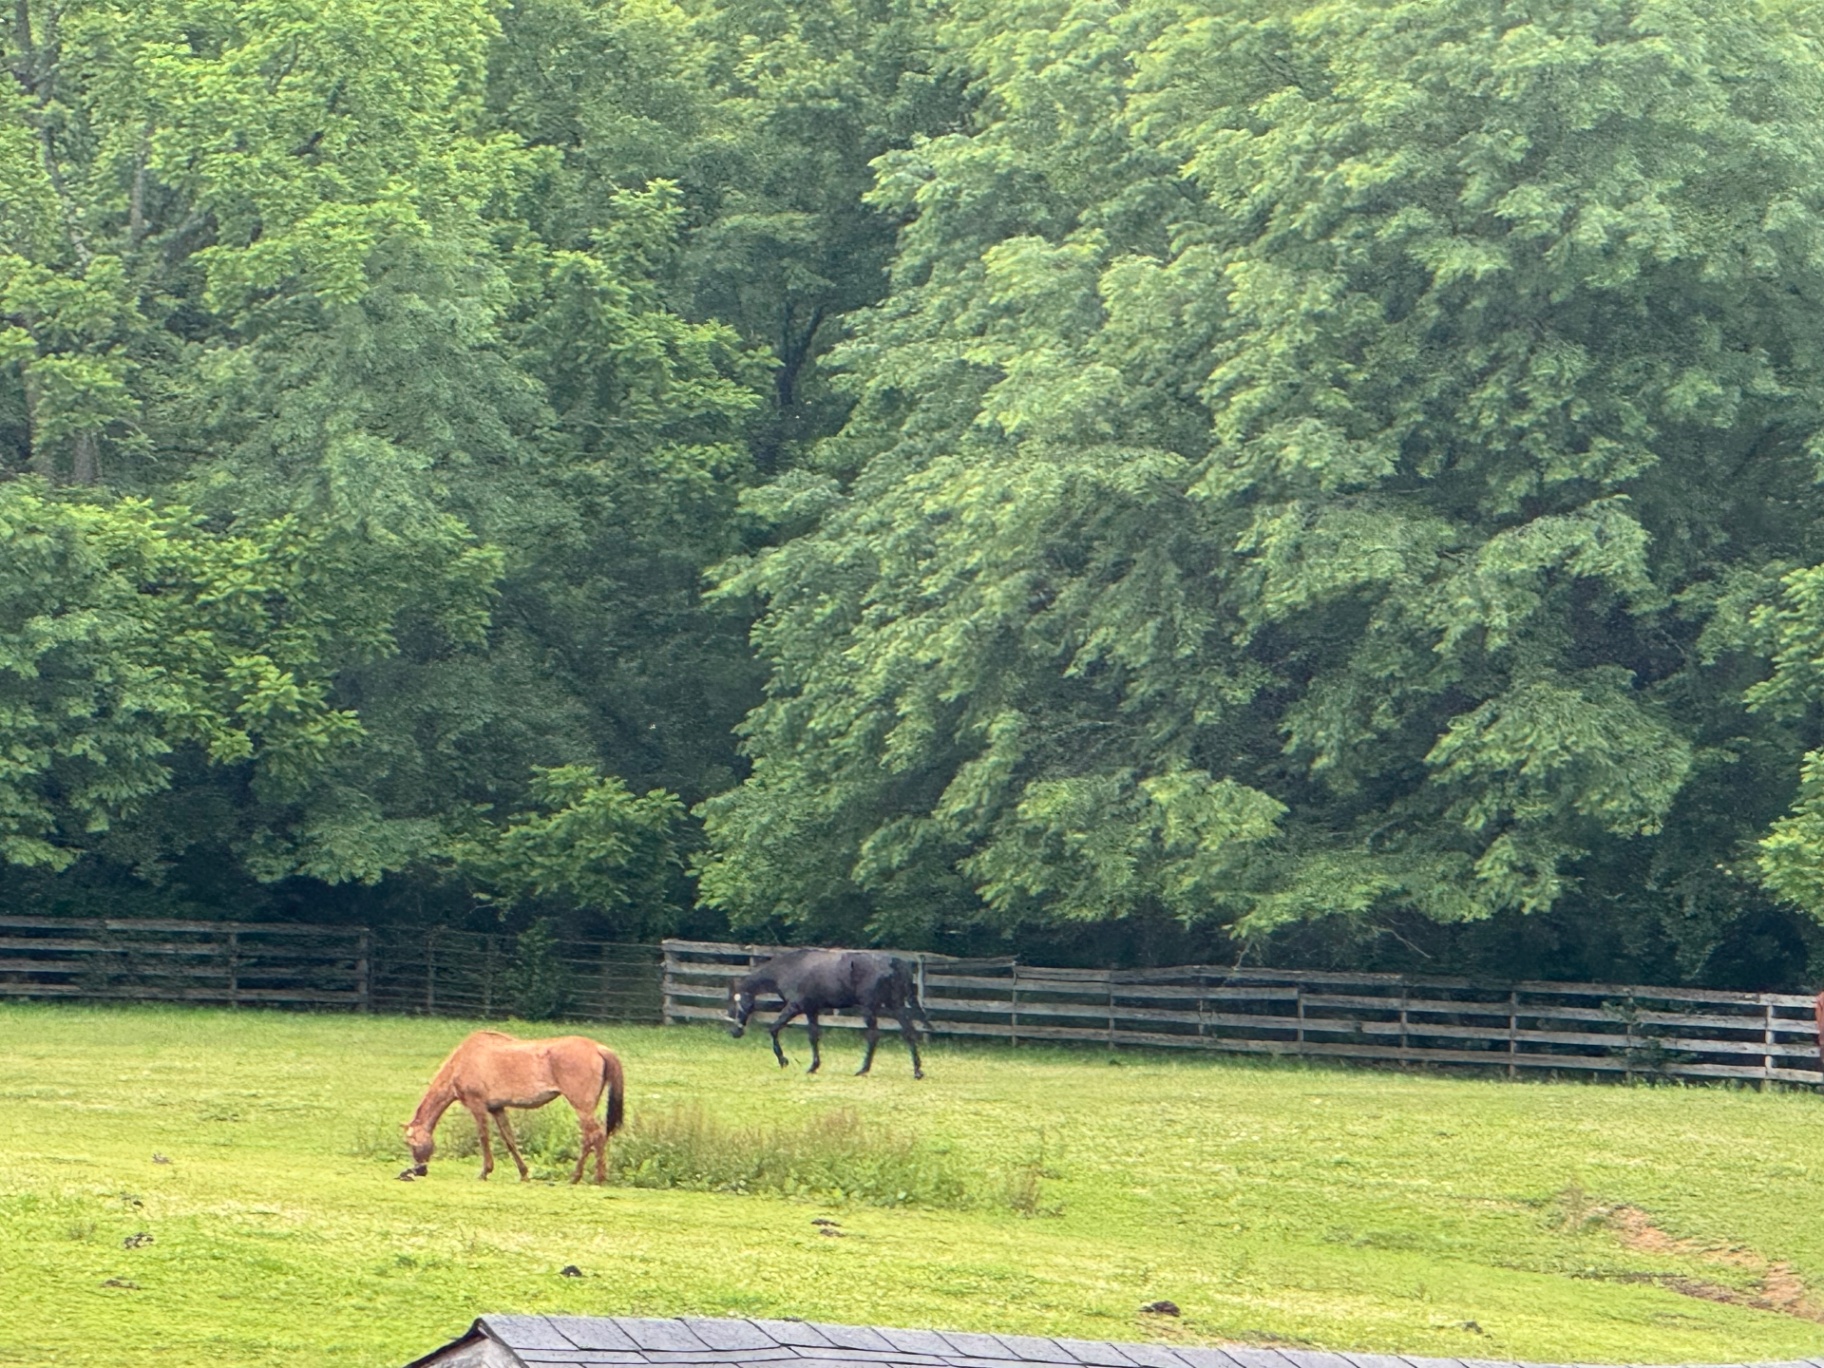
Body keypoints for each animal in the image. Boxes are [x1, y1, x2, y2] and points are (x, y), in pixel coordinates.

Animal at [401, 1030, 625, 1183]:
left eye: (411, 1144)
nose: (420, 1170)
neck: (462, 1061)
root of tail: (598, 1048)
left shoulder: (477, 1105)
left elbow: (484, 1138)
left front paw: (485, 1171)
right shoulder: (497, 1108)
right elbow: (509, 1139)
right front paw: (524, 1173)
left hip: (582, 1106)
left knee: (594, 1136)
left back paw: (588, 1177)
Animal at [724, 948, 935, 1078]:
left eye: (734, 1004)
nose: (734, 1032)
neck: (789, 968)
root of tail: (894, 961)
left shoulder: (795, 1006)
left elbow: (774, 1029)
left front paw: (784, 1060)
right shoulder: (812, 1010)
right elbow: (813, 1036)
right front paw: (813, 1066)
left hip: (870, 1007)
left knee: (874, 1036)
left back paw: (863, 1069)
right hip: (895, 1005)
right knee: (908, 1033)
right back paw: (917, 1071)